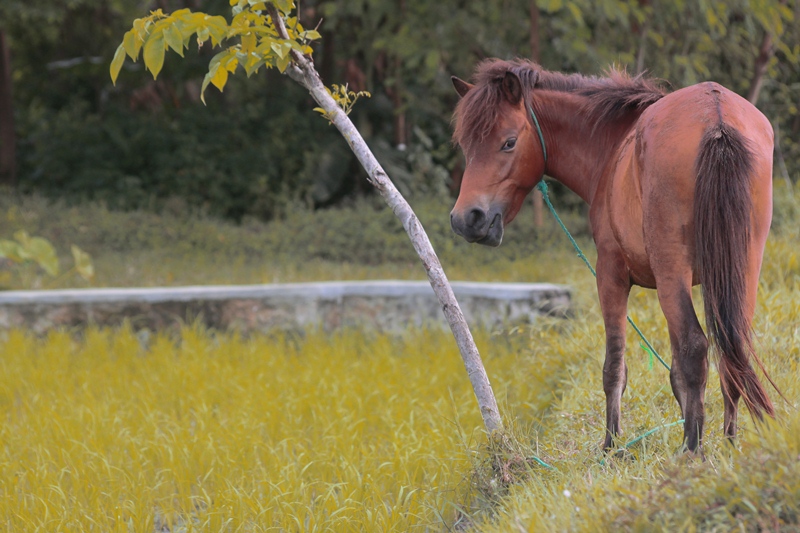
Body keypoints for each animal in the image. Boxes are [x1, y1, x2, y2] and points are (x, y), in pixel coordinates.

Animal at [450, 61, 776, 454]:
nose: (467, 218)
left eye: (509, 142)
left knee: (697, 348)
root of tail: (716, 116)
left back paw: (691, 451)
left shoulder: (610, 274)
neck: (613, 147)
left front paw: (610, 445)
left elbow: (615, 368)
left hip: (674, 271)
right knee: (732, 349)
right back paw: (726, 444)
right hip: (742, 268)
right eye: (466, 145)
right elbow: (677, 374)